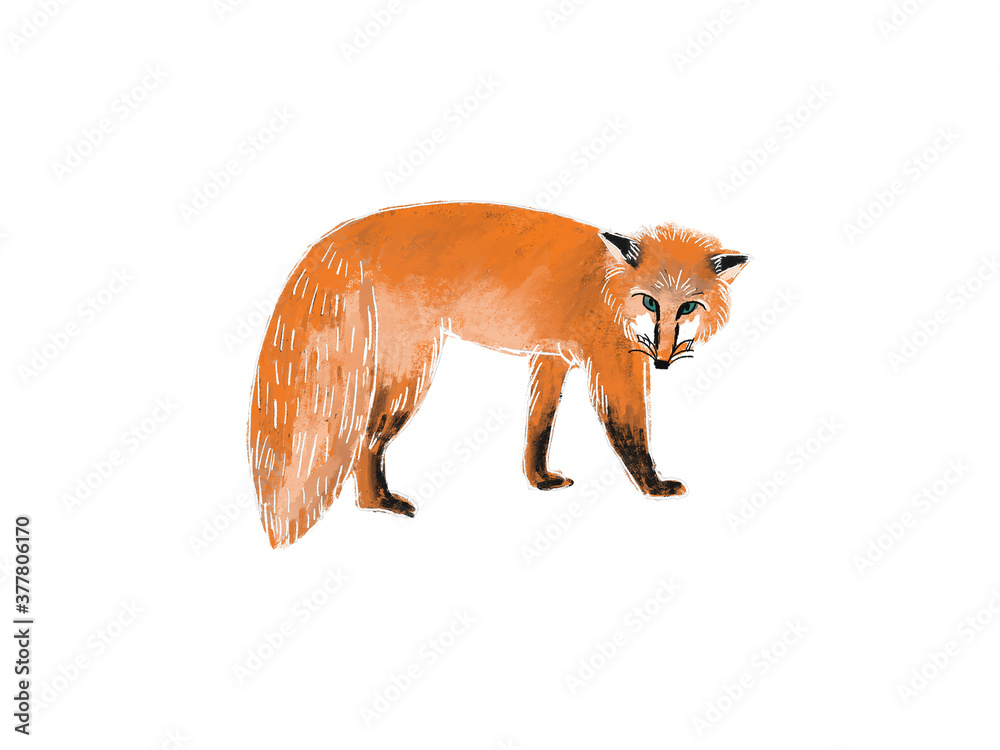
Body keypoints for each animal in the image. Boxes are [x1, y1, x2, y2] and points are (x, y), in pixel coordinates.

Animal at [248, 201, 749, 548]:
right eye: (650, 302)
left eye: (688, 307)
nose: (661, 360)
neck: (609, 288)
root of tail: (347, 232)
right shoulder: (614, 370)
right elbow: (632, 435)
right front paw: (653, 487)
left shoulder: (551, 359)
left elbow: (538, 427)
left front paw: (539, 479)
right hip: (412, 373)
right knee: (368, 440)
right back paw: (380, 504)